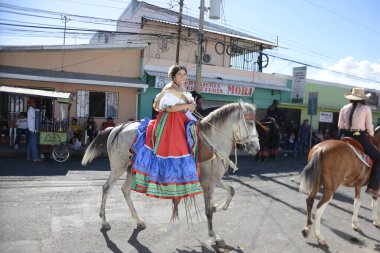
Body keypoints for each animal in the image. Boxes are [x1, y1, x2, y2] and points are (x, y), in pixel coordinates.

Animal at [82, 102, 262, 246]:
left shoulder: (215, 181)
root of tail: (117, 128)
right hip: (118, 167)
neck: (212, 142)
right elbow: (208, 212)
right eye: (249, 122)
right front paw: (214, 236)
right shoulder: (208, 185)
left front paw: (218, 207)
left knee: (125, 190)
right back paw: (105, 221)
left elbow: (231, 191)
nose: (256, 148)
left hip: (131, 169)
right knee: (106, 188)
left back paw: (139, 220)